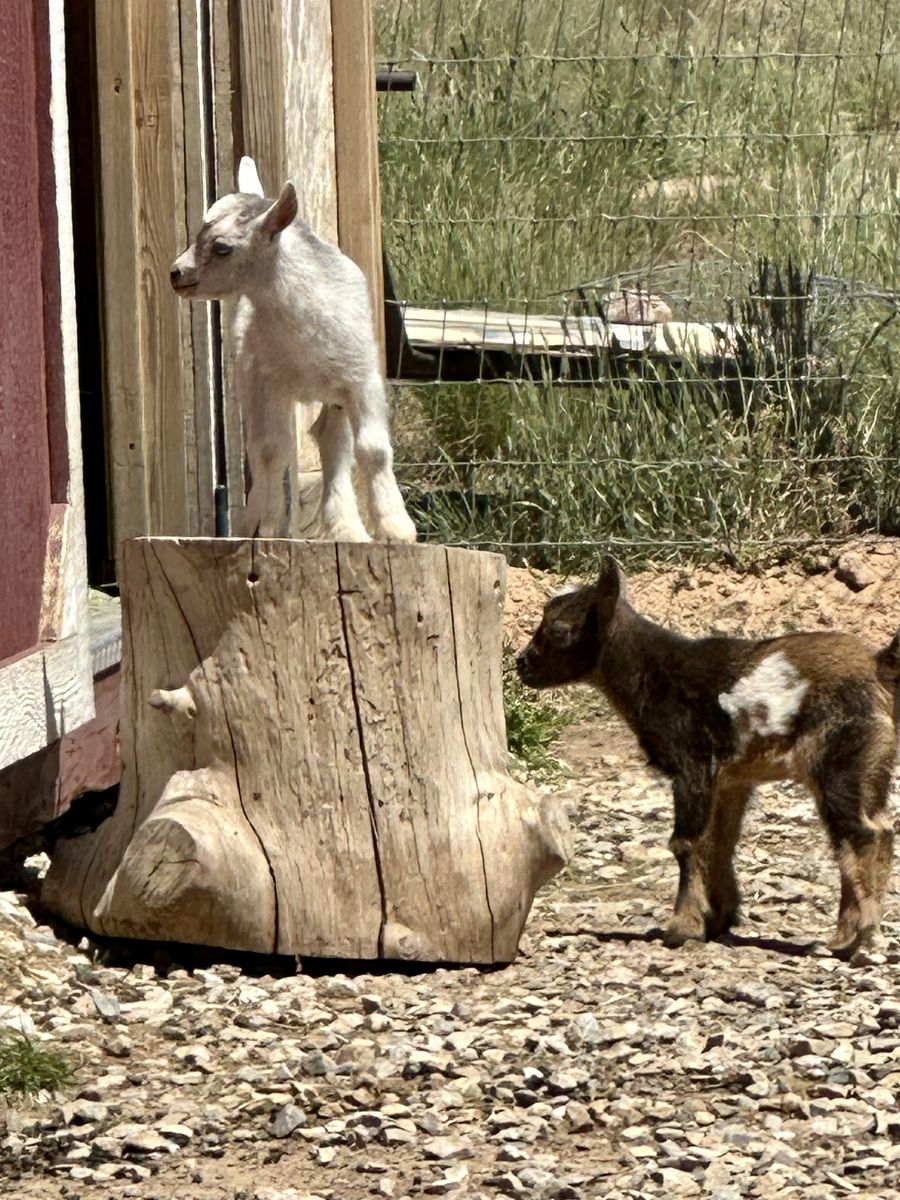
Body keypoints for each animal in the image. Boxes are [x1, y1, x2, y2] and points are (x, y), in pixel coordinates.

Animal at [170, 157, 416, 543]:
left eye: (222, 247)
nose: (176, 273)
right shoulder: (268, 380)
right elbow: (272, 450)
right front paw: (261, 527)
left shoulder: (360, 377)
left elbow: (372, 448)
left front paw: (397, 529)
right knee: (278, 446)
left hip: (333, 391)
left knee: (334, 442)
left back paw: (347, 528)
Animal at [517, 557, 899, 956]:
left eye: (559, 630)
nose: (522, 663)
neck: (654, 672)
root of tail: (879, 665)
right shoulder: (732, 778)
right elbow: (719, 842)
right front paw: (719, 918)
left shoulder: (692, 763)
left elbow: (686, 842)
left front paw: (682, 927)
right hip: (873, 764)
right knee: (879, 830)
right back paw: (856, 932)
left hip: (839, 760)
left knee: (859, 835)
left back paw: (854, 936)